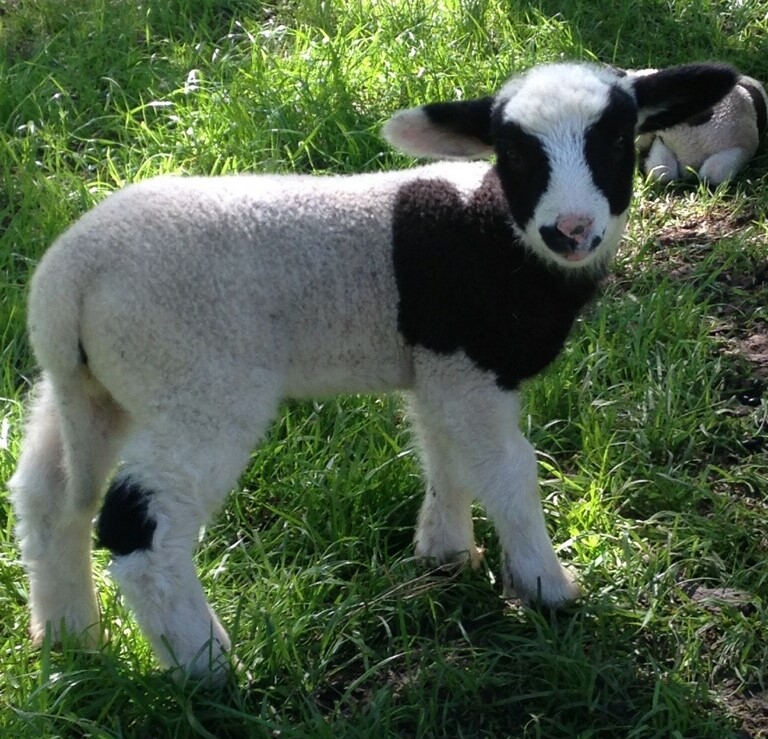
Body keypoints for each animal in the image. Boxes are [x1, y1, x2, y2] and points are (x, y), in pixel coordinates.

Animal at [8, 60, 737, 682]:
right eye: (513, 153)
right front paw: (545, 588)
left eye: (615, 138)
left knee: (46, 498)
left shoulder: (441, 369)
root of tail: (70, 278)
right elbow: (508, 471)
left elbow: (444, 453)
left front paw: (445, 552)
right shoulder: (472, 367)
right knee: (140, 529)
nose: (573, 229)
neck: (496, 233)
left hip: (95, 388)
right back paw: (210, 671)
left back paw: (70, 639)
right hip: (197, 380)